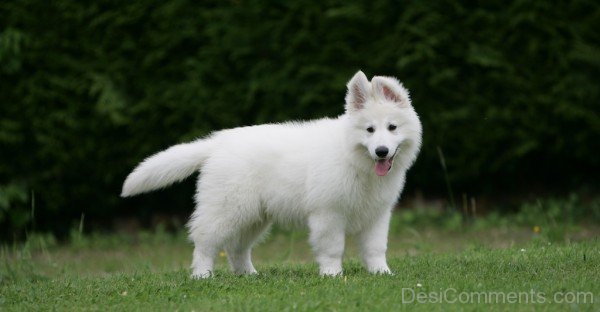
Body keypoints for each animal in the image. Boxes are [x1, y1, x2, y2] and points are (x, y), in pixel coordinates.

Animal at [120, 71, 422, 278]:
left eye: (392, 127)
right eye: (369, 130)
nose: (381, 152)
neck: (355, 158)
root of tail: (218, 142)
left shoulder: (377, 215)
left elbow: (375, 248)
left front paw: (382, 273)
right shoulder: (328, 213)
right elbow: (333, 248)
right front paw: (333, 275)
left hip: (253, 216)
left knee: (236, 248)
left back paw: (249, 275)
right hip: (226, 209)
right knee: (205, 241)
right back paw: (202, 274)